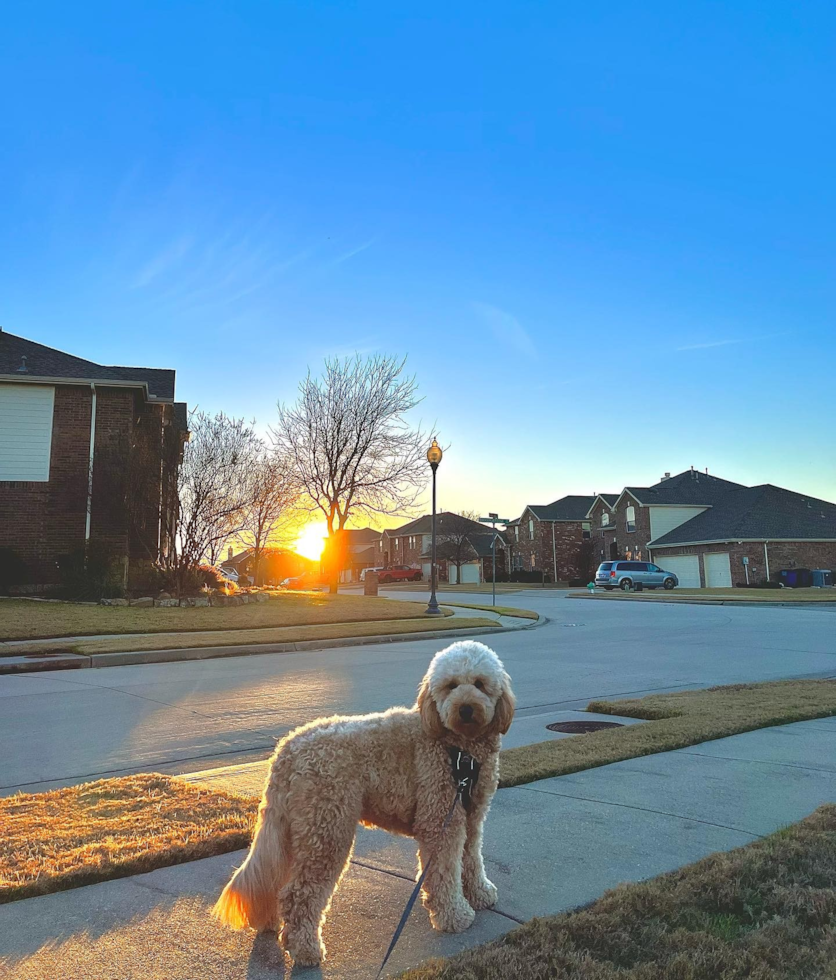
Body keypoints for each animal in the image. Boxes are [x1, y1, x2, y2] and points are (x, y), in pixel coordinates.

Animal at [212, 640, 512, 968]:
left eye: (480, 684)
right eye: (451, 685)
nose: (466, 708)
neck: (459, 749)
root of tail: (287, 748)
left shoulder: (472, 816)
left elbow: (471, 858)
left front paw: (480, 893)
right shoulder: (440, 819)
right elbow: (445, 872)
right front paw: (454, 915)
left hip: (297, 829)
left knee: (278, 879)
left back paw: (272, 923)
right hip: (327, 829)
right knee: (298, 895)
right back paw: (305, 949)